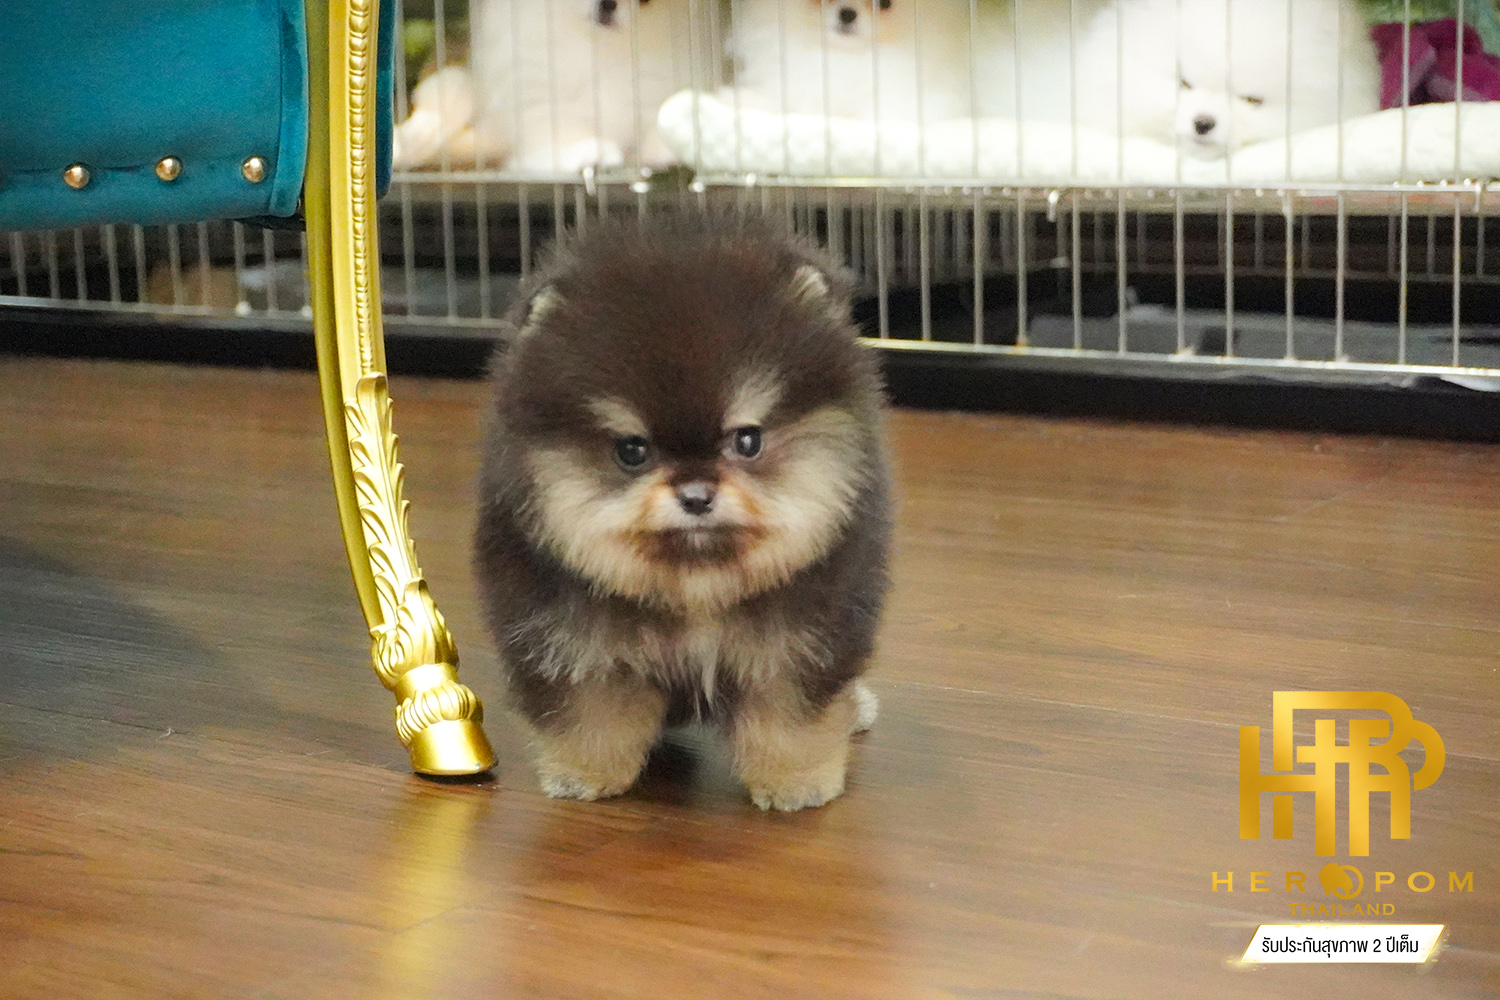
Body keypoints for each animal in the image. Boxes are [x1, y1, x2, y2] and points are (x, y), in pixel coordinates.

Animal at [474, 216, 891, 811]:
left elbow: (790, 713)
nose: (696, 495)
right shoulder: (568, 634)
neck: (695, 581)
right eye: (632, 451)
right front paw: (584, 772)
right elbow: (587, 708)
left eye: (748, 440)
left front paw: (795, 781)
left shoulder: (803, 633)